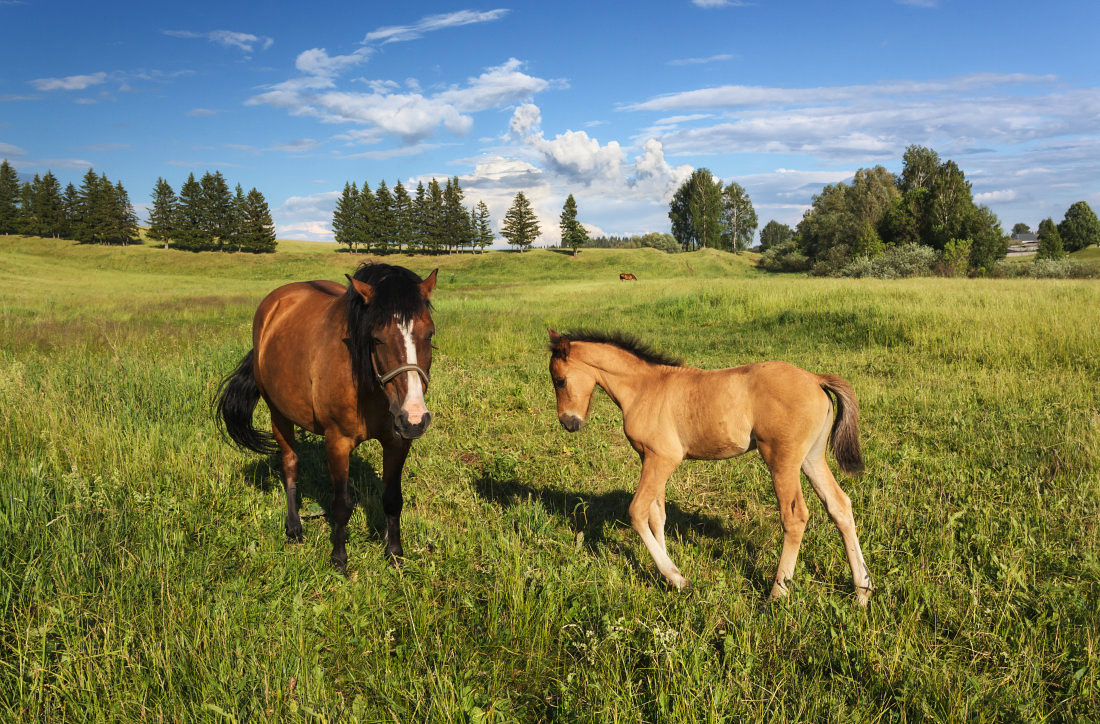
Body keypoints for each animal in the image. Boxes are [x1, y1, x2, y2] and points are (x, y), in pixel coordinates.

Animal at [214, 261, 437, 572]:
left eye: (429, 334)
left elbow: (392, 499)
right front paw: (339, 559)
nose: (415, 418)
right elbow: (341, 505)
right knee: (290, 464)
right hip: (278, 414)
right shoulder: (338, 442)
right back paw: (294, 528)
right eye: (377, 339)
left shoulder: (397, 441)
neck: (366, 383)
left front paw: (394, 553)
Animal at [545, 327, 871, 602]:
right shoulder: (649, 458)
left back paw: (777, 594)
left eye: (560, 380)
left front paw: (677, 579)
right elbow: (657, 515)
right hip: (812, 458)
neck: (645, 388)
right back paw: (862, 592)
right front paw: (667, 575)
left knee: (795, 517)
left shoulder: (663, 458)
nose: (569, 423)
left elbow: (637, 512)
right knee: (840, 506)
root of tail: (816, 378)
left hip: (782, 459)